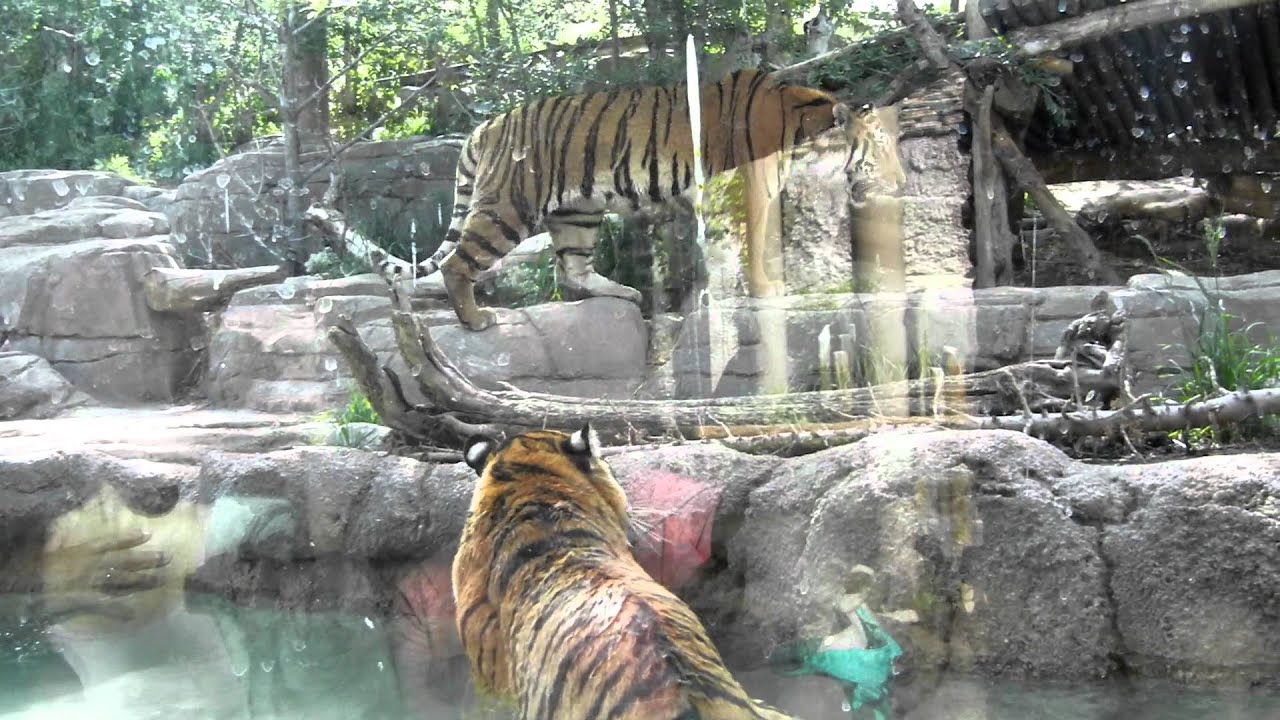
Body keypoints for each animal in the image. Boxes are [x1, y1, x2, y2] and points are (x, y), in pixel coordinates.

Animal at [410, 68, 902, 330]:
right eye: (881, 149)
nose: (900, 181)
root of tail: (486, 125)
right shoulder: (749, 192)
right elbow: (752, 245)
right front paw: (764, 289)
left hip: (577, 213)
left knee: (572, 268)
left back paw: (624, 293)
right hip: (510, 205)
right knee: (458, 263)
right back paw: (475, 318)